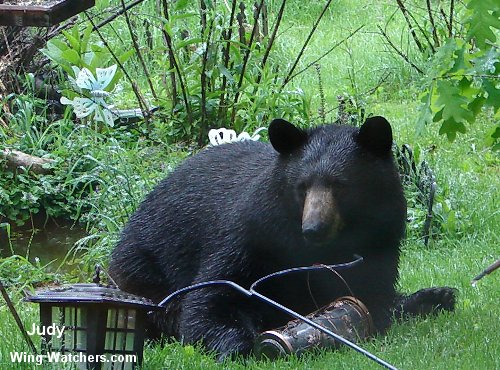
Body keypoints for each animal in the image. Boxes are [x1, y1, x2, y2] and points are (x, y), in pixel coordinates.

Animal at [109, 116, 458, 358]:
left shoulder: (380, 239)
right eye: (302, 186)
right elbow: (211, 296)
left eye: (341, 186)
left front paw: (429, 298)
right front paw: (236, 342)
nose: (314, 228)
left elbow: (374, 293)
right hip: (143, 263)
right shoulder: (253, 233)